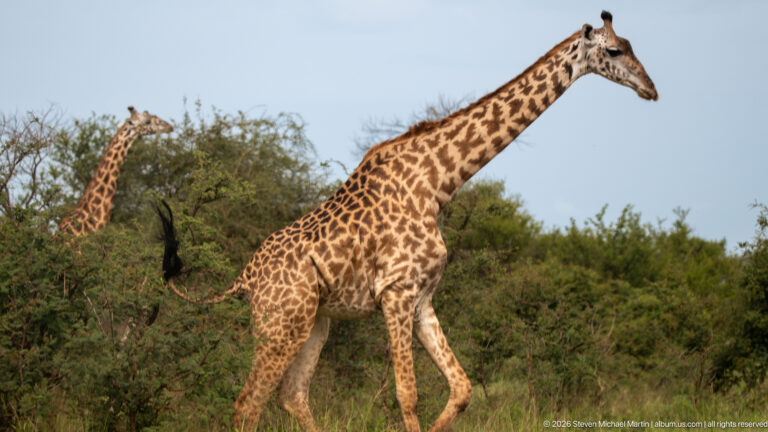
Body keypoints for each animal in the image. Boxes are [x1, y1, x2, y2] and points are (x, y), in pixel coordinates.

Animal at [158, 11, 656, 432]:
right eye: (615, 51)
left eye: (632, 45)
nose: (651, 89)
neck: (438, 183)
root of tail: (244, 277)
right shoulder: (395, 292)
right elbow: (407, 394)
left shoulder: (422, 298)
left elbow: (462, 389)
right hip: (280, 322)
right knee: (248, 404)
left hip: (314, 322)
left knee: (291, 395)